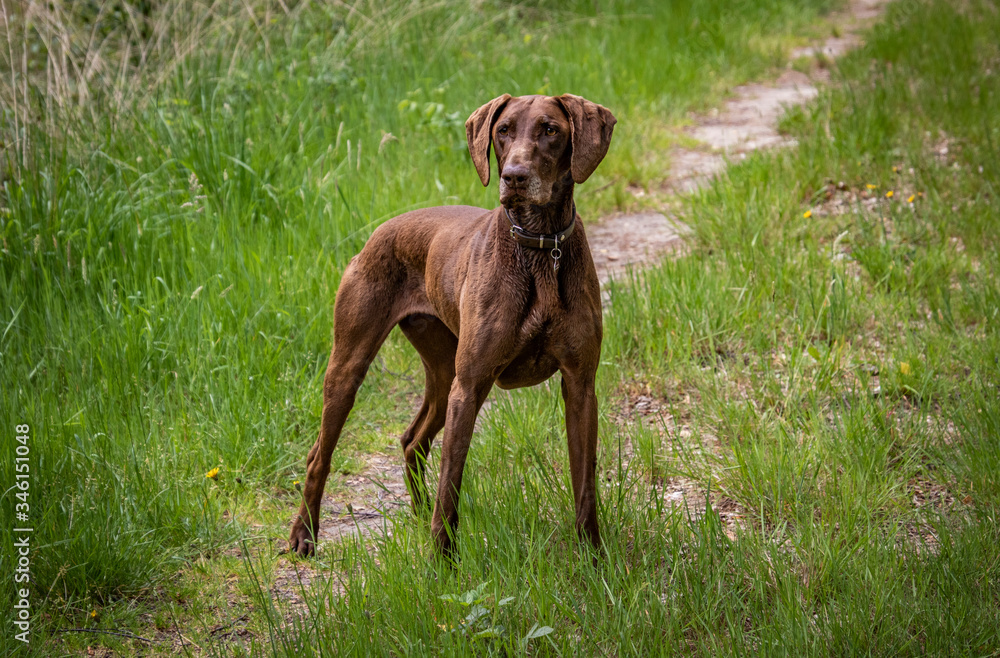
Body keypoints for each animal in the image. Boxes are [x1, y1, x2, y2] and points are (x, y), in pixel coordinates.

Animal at [290, 93, 612, 552]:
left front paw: (592, 557)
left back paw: (417, 512)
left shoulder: (581, 385)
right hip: (351, 367)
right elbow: (451, 482)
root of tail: (375, 235)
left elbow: (584, 482)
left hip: (442, 374)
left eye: (551, 129)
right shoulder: (471, 386)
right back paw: (304, 534)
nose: (514, 177)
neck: (538, 246)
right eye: (503, 130)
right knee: (320, 455)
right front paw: (443, 560)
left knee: (412, 441)